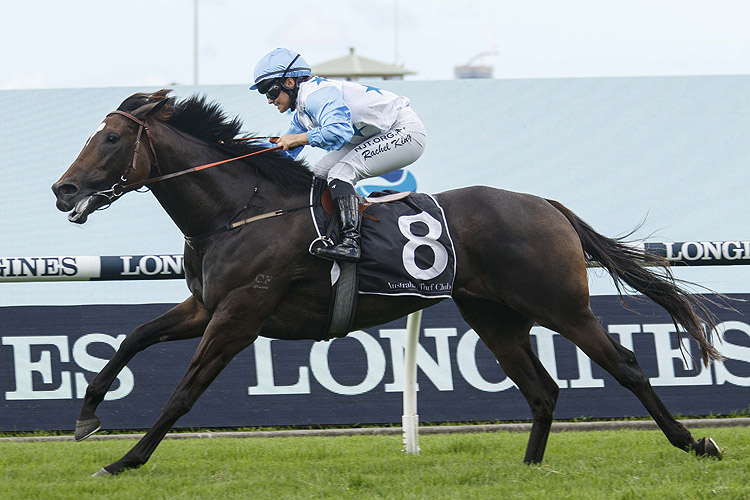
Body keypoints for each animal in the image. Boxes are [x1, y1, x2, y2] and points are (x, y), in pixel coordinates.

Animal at [51, 91, 724, 476]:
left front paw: (127, 459)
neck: (239, 209)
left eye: (111, 138)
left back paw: (696, 445)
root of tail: (545, 205)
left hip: (562, 305)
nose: (64, 188)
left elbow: (184, 391)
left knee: (627, 368)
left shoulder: (240, 313)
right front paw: (87, 416)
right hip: (495, 316)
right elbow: (132, 339)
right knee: (542, 390)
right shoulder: (204, 305)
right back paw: (529, 470)